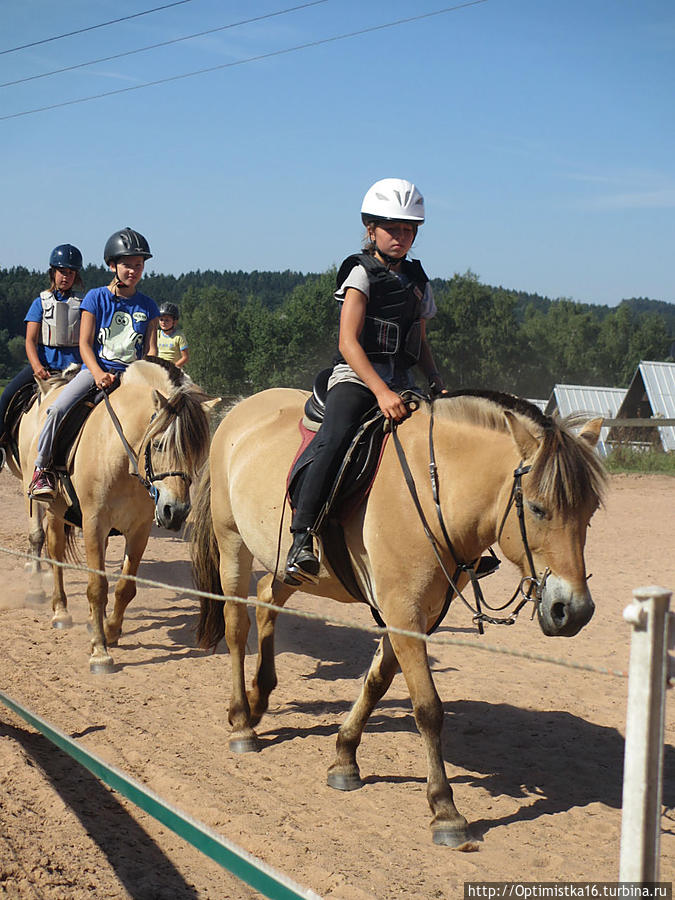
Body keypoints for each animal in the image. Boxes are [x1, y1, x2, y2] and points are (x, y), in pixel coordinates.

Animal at [17, 356, 214, 672]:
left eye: (197, 452)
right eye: (158, 444)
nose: (176, 511)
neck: (122, 457)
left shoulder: (140, 529)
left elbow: (125, 587)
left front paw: (110, 629)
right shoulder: (94, 523)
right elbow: (97, 586)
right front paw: (100, 652)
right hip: (53, 510)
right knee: (55, 554)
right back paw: (60, 612)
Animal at [190, 388, 608, 852]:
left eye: (590, 511)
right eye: (537, 508)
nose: (573, 610)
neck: (431, 491)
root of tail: (242, 408)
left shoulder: (413, 613)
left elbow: (376, 682)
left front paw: (345, 757)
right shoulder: (404, 611)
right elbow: (427, 708)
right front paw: (445, 809)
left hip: (285, 564)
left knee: (266, 600)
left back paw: (259, 697)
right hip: (232, 543)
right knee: (236, 626)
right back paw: (242, 722)